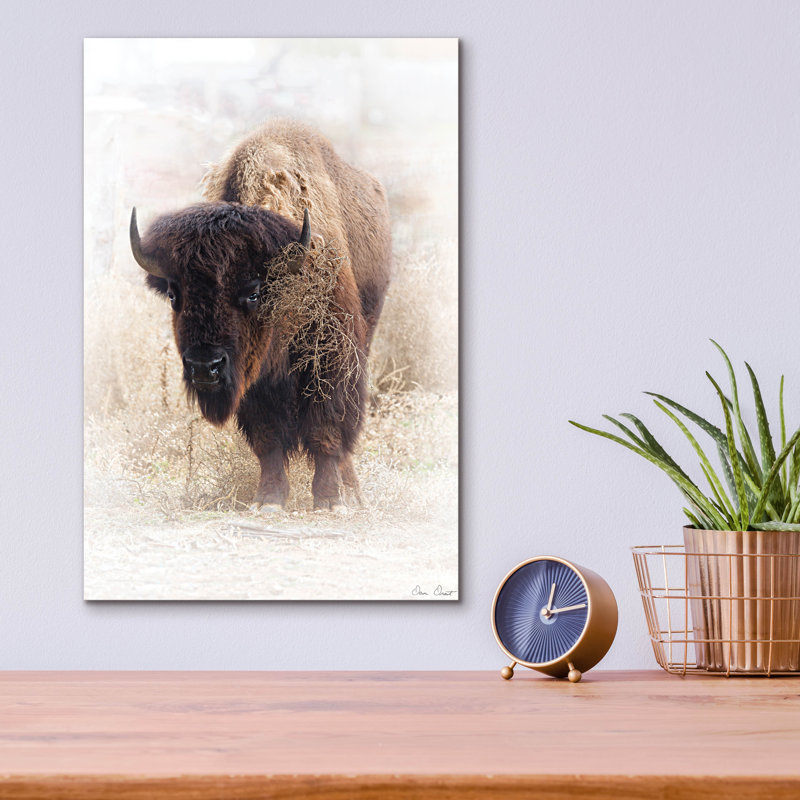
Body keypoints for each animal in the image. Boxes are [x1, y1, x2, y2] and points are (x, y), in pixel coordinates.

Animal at [129, 119, 392, 511]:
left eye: (253, 292)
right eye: (175, 295)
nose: (204, 367)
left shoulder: (332, 359)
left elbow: (326, 429)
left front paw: (329, 501)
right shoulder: (254, 381)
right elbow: (268, 438)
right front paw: (269, 499)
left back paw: (353, 494)